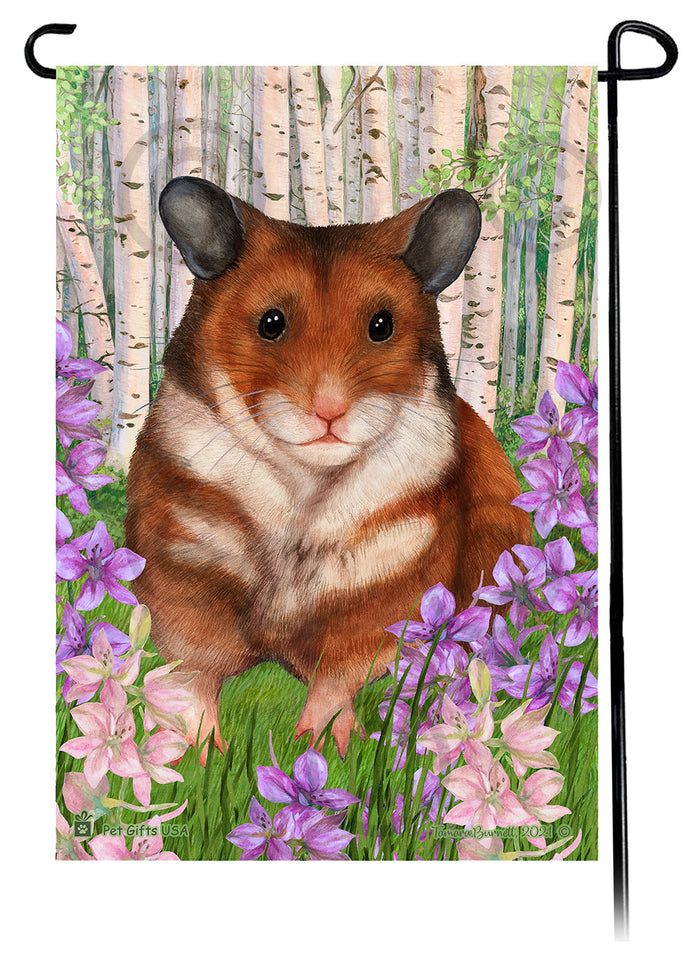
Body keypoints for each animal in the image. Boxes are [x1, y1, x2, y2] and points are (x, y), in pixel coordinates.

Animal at [125, 176, 531, 758]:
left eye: (382, 325)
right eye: (271, 323)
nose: (329, 412)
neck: (306, 485)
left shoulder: (384, 593)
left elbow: (335, 684)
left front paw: (325, 752)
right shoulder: (185, 573)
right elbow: (195, 679)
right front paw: (198, 757)